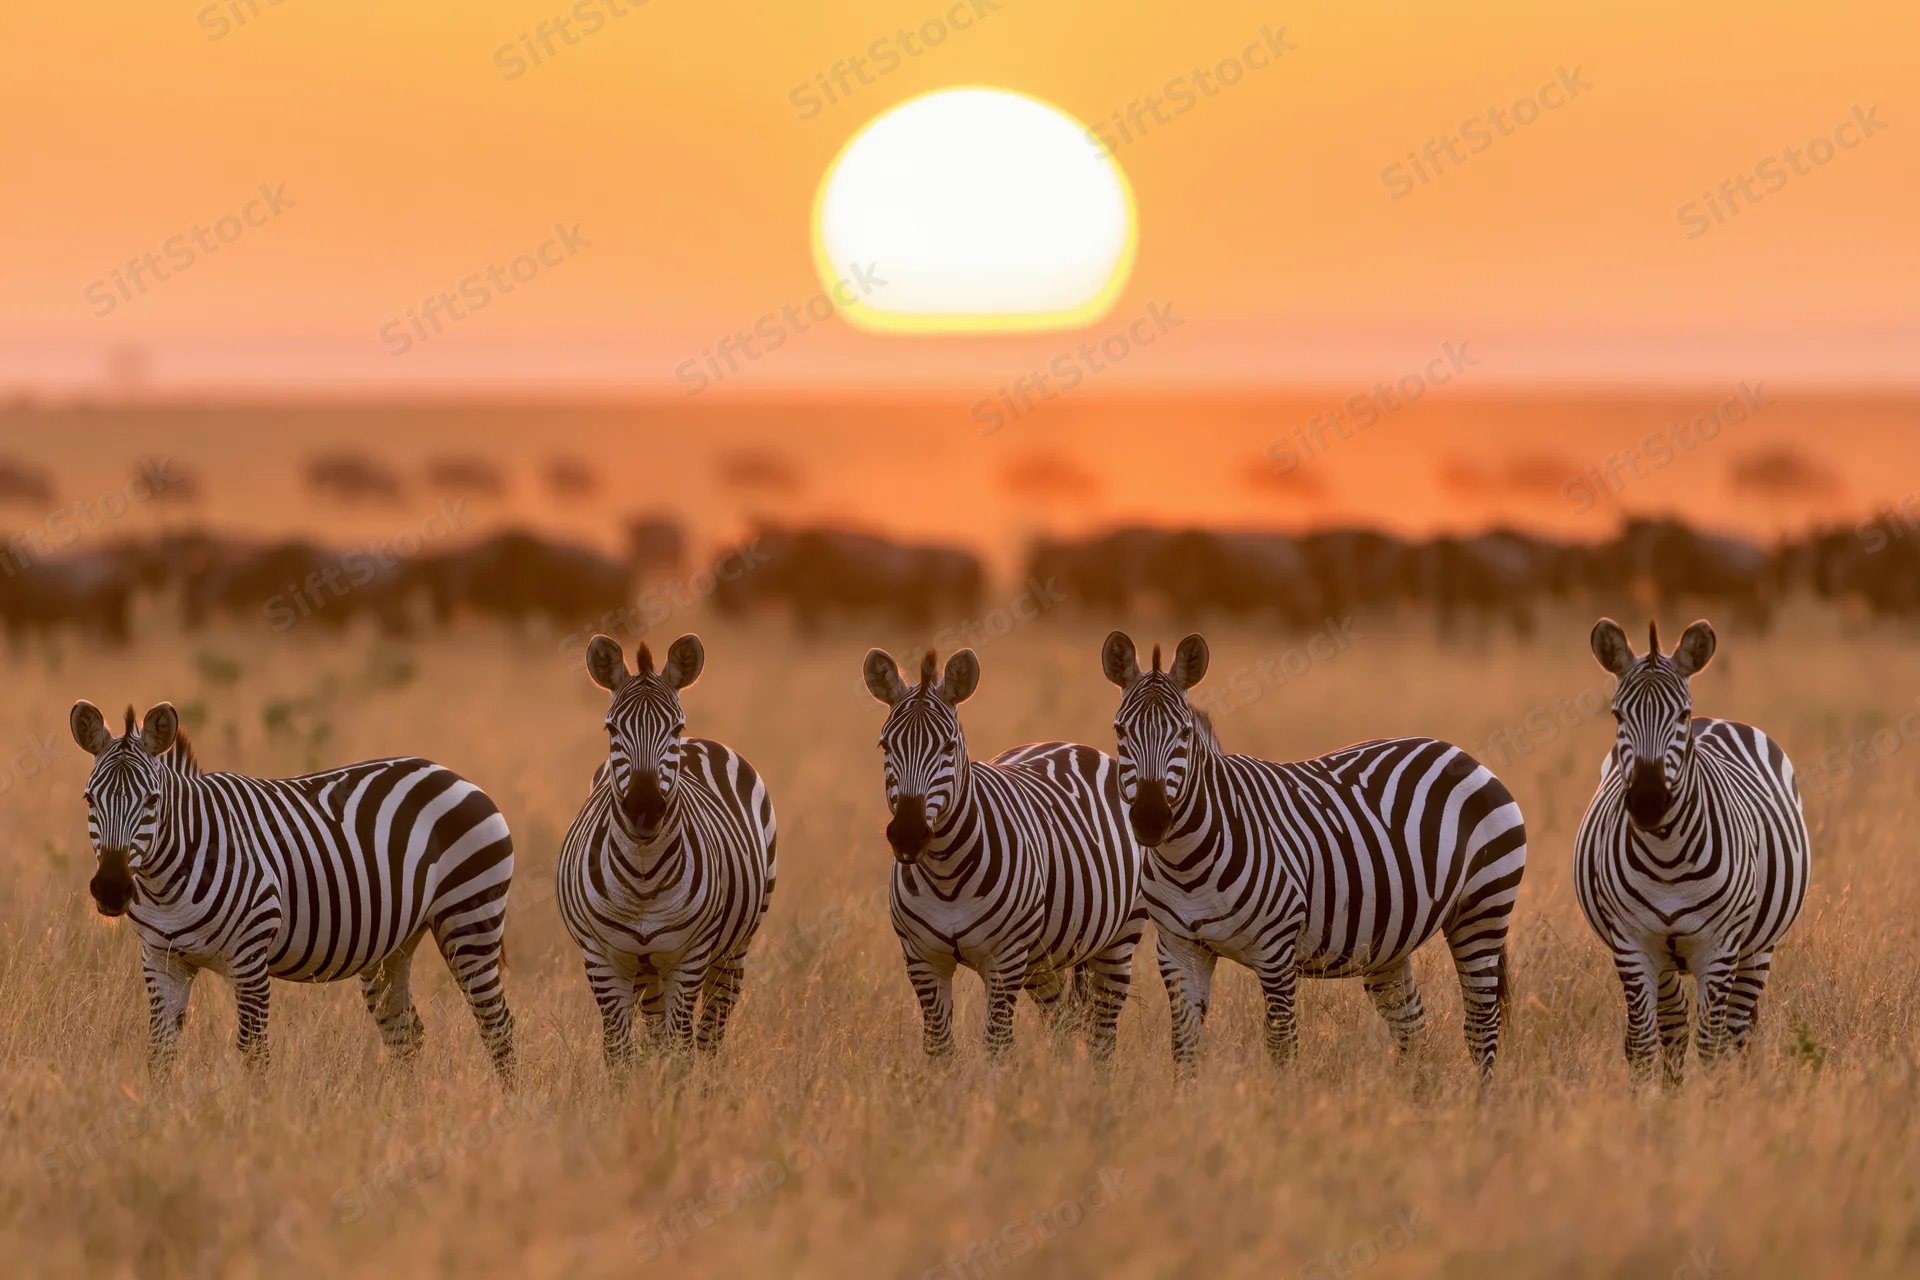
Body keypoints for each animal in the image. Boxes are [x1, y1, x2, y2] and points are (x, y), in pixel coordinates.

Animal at [70, 701, 516, 1081]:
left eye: (152, 801)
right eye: (89, 799)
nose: (111, 889)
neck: (165, 886)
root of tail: (448, 773)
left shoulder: (250, 957)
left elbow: (254, 1053)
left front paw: (253, 1118)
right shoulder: (161, 961)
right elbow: (160, 1054)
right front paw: (156, 1116)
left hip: (469, 920)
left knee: (498, 1026)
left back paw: (509, 1109)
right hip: (394, 945)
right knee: (406, 1033)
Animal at [556, 633, 776, 1073]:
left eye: (675, 726)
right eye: (611, 728)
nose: (644, 808)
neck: (643, 876)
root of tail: (701, 743)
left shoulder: (687, 958)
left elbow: (682, 1050)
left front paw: (676, 1091)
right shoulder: (603, 960)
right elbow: (619, 1053)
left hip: (734, 949)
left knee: (710, 1031)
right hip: (646, 968)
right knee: (658, 1031)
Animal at [864, 647, 1146, 1060]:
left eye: (949, 747)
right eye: (886, 746)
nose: (907, 835)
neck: (946, 874)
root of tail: (1069, 744)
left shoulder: (1005, 959)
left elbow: (997, 1045)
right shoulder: (922, 959)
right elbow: (939, 1047)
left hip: (1119, 938)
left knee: (1102, 1035)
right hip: (1045, 959)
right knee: (1063, 1023)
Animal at [1101, 632, 1529, 1079]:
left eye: (1183, 733)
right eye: (1119, 730)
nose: (1150, 819)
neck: (1186, 861)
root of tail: (1458, 752)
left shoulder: (1275, 953)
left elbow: (1281, 1045)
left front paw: (1282, 1098)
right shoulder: (1179, 948)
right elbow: (1183, 1048)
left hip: (1482, 910)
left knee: (1481, 1026)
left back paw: (1479, 1096)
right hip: (1390, 938)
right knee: (1412, 1026)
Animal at [1574, 618, 1810, 1087]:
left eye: (1680, 716)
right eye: (1617, 715)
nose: (1648, 802)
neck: (1667, 856)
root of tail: (1713, 718)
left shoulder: (1719, 950)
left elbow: (1712, 1047)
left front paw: (1714, 1102)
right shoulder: (1632, 945)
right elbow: (1644, 1043)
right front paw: (1651, 1103)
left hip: (1758, 948)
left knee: (1735, 1031)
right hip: (1667, 959)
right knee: (1675, 1027)